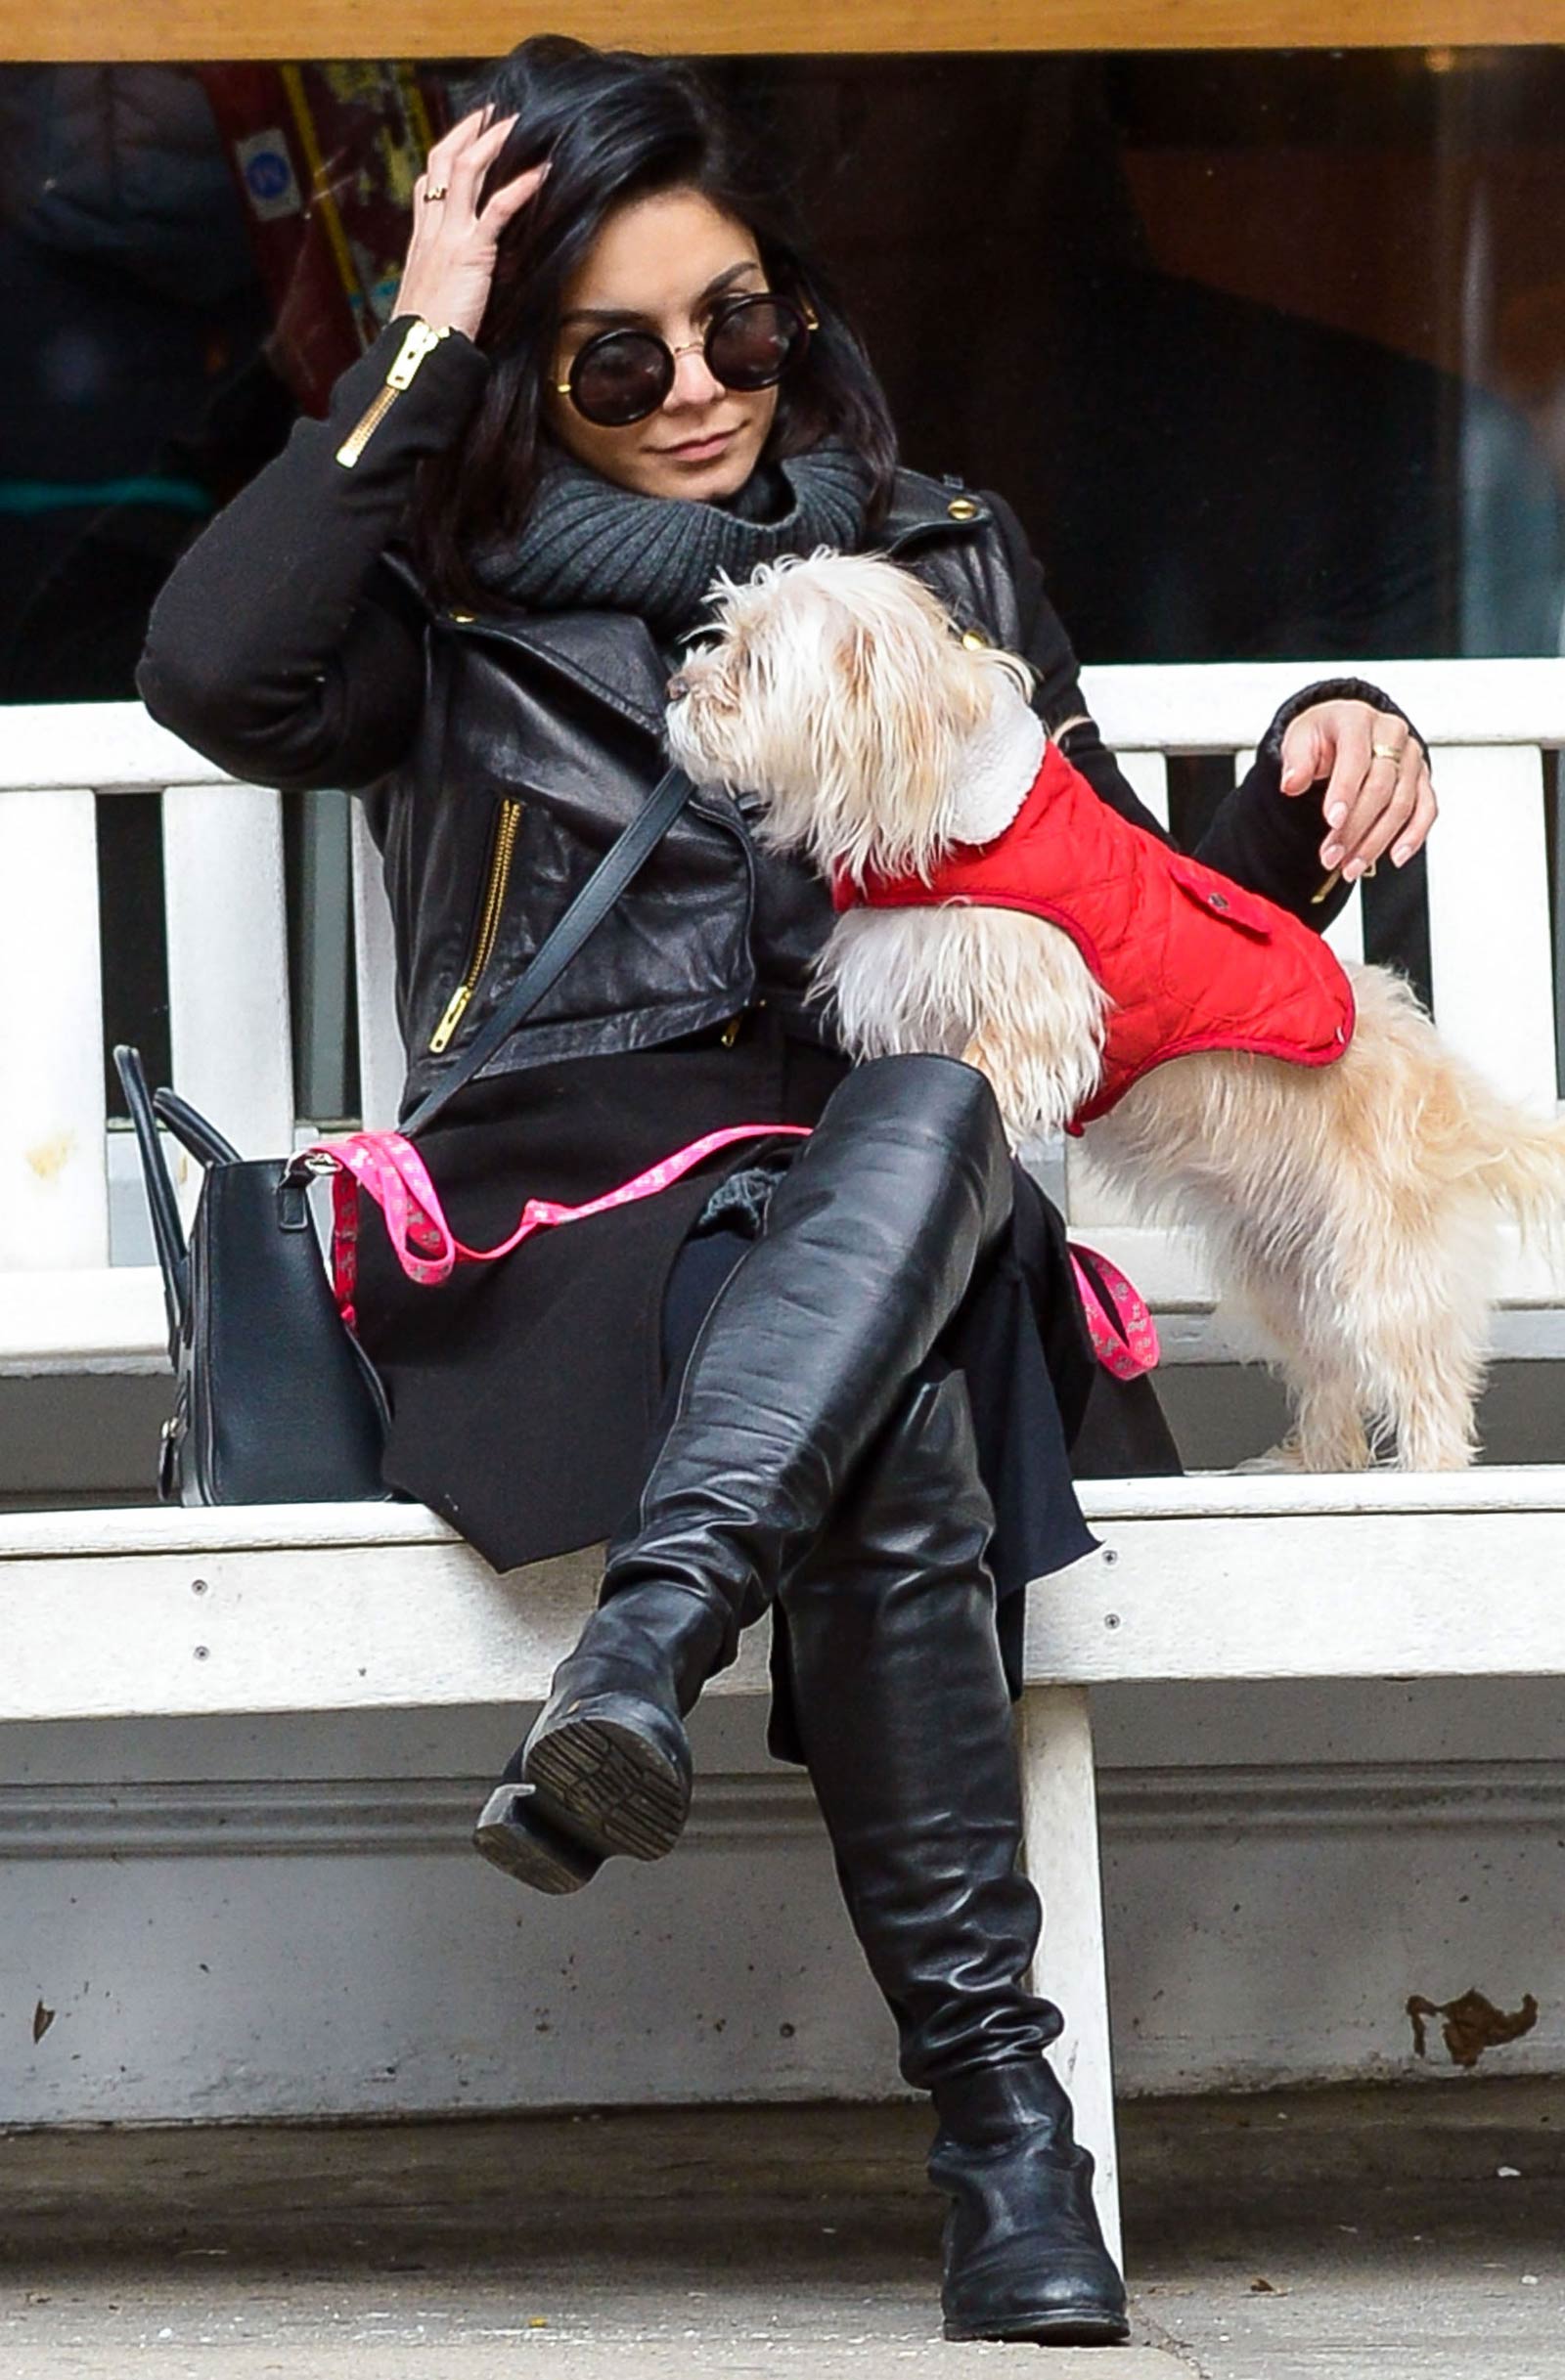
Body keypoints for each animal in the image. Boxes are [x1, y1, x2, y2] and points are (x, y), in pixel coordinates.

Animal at [666, 551, 1562, 1466]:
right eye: (722, 636)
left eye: (753, 664)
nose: (676, 687)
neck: (950, 820)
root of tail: (1450, 1093)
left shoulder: (1041, 1009)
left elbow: (994, 1063)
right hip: (1285, 1269)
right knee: (1330, 1372)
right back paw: (1313, 1460)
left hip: (1379, 1268)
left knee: (1422, 1381)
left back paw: (1431, 1469)